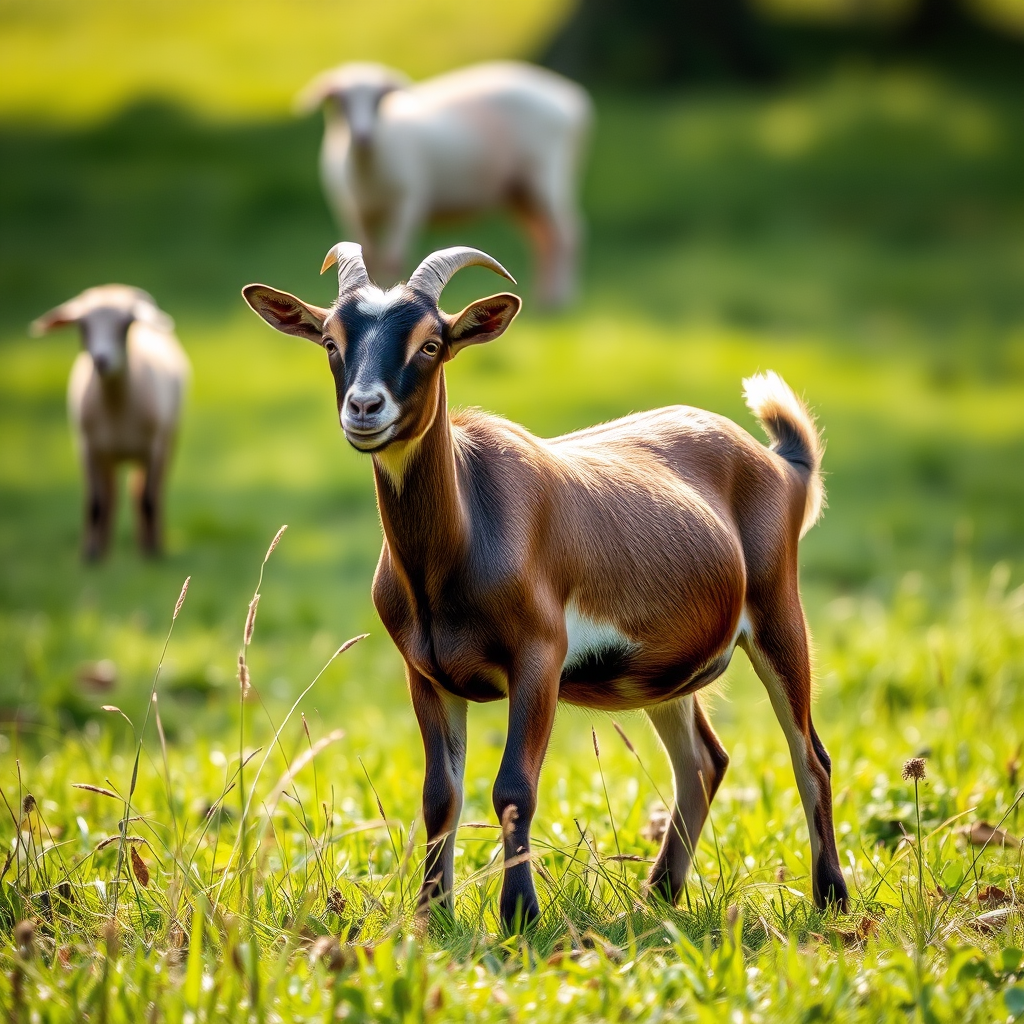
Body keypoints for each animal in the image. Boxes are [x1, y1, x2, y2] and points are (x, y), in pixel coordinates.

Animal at [31, 285, 190, 560]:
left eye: (125, 324)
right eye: (82, 325)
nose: (101, 360)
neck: (116, 406)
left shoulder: (153, 447)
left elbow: (147, 501)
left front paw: (151, 555)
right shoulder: (87, 447)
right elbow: (96, 503)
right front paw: (91, 556)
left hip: (167, 441)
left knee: (150, 493)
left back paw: (151, 542)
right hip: (107, 455)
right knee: (110, 496)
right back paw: (101, 546)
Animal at [242, 243, 849, 929]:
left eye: (431, 343)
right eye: (330, 339)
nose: (366, 409)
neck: (464, 533)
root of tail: (783, 465)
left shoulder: (538, 658)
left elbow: (513, 788)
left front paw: (519, 915)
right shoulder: (425, 673)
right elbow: (439, 794)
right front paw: (432, 915)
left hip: (778, 614)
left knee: (810, 754)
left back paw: (830, 896)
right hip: (662, 675)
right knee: (703, 760)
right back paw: (657, 896)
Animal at [297, 61, 591, 309]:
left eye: (379, 99)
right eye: (340, 102)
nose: (363, 136)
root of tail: (571, 99)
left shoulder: (408, 203)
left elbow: (393, 259)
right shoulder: (352, 211)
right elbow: (368, 258)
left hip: (547, 174)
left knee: (566, 234)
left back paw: (558, 301)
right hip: (519, 191)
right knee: (543, 238)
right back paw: (544, 298)